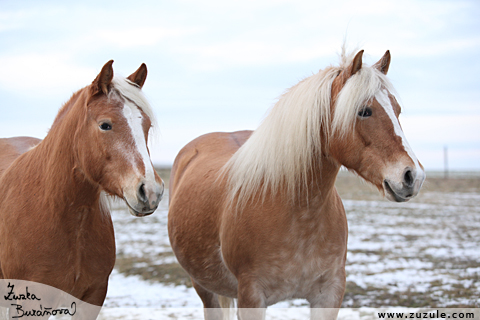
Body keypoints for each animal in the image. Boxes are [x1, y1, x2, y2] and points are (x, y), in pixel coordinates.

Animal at [168, 48, 424, 318]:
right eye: (364, 110)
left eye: (397, 109)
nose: (412, 176)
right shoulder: (251, 298)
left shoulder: (329, 295)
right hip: (204, 287)